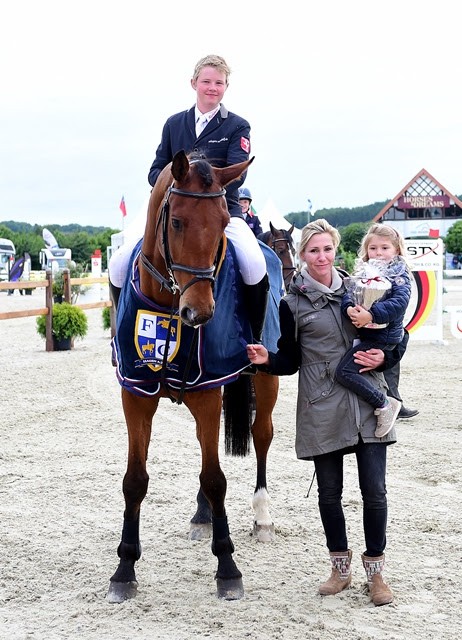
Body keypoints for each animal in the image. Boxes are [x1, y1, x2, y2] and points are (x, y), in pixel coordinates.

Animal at [108, 152, 280, 604]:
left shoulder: (207, 392)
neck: (168, 304)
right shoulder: (136, 393)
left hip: (266, 376)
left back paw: (262, 516)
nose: (199, 313)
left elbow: (216, 478)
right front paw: (124, 569)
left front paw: (228, 568)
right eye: (177, 221)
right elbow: (135, 481)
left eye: (222, 222)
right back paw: (202, 516)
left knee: (261, 435)